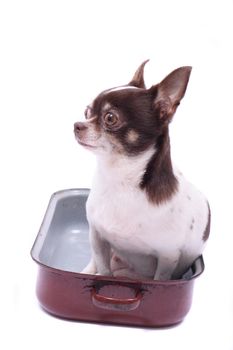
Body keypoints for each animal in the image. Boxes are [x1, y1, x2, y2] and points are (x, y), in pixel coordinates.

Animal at [73, 59, 210, 278]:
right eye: (87, 112)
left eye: (110, 118)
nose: (77, 125)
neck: (119, 178)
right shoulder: (97, 236)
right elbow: (104, 270)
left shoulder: (167, 257)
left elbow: (160, 278)